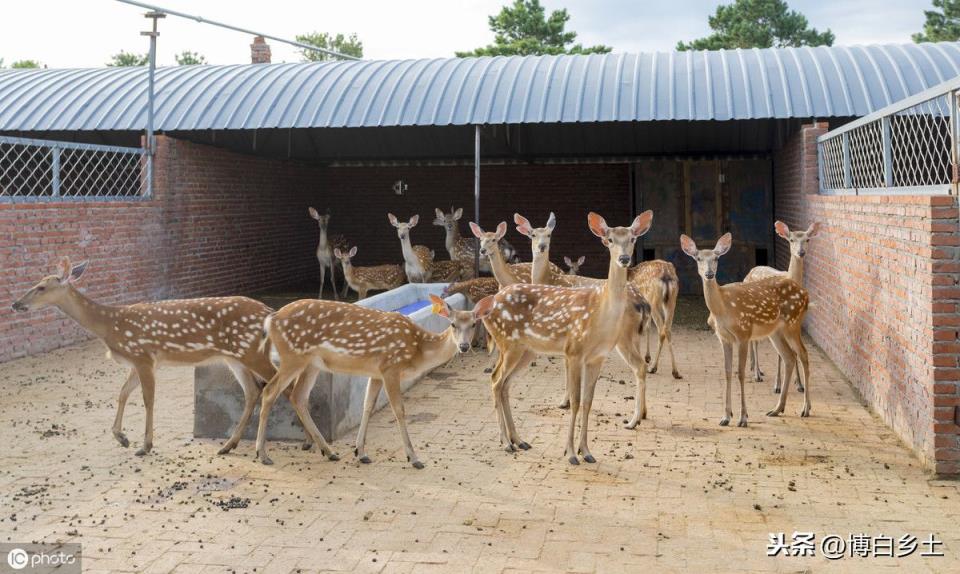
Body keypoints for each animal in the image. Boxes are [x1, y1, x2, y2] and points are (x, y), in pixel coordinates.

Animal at [11, 256, 284, 460]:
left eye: (41, 287)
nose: (15, 304)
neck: (110, 326)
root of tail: (270, 312)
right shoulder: (135, 361)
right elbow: (122, 393)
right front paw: (121, 437)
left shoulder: (143, 355)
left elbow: (147, 399)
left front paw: (145, 445)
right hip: (235, 357)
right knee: (254, 390)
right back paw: (229, 445)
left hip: (251, 352)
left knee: (275, 385)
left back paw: (262, 451)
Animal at [253, 296, 496, 468]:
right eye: (453, 324)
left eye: (473, 324)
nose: (464, 346)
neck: (417, 350)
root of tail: (272, 319)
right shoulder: (390, 367)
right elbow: (399, 410)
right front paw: (414, 457)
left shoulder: (376, 373)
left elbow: (367, 406)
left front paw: (360, 453)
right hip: (292, 357)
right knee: (270, 391)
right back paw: (262, 454)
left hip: (311, 363)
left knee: (299, 397)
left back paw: (330, 452)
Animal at [480, 214, 652, 466]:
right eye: (609, 239)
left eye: (632, 238)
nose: (624, 258)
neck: (600, 314)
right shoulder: (574, 351)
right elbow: (576, 401)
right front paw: (571, 453)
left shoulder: (597, 357)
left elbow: (588, 401)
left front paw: (586, 451)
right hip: (508, 342)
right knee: (495, 379)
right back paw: (506, 443)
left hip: (527, 349)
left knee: (504, 383)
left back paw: (519, 440)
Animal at [680, 234, 812, 428]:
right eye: (698, 258)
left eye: (716, 258)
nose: (709, 274)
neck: (723, 308)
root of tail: (806, 293)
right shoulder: (723, 338)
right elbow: (727, 371)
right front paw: (726, 417)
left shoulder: (743, 333)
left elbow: (740, 373)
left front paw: (743, 418)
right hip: (776, 331)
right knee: (789, 357)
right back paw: (777, 409)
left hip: (793, 322)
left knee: (803, 354)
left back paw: (805, 408)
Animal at [748, 218, 820, 394]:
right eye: (791, 240)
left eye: (807, 239)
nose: (801, 252)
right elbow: (780, 354)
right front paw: (777, 385)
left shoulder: (795, 323)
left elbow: (794, 351)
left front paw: (799, 384)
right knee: (755, 342)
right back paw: (756, 374)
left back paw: (756, 369)